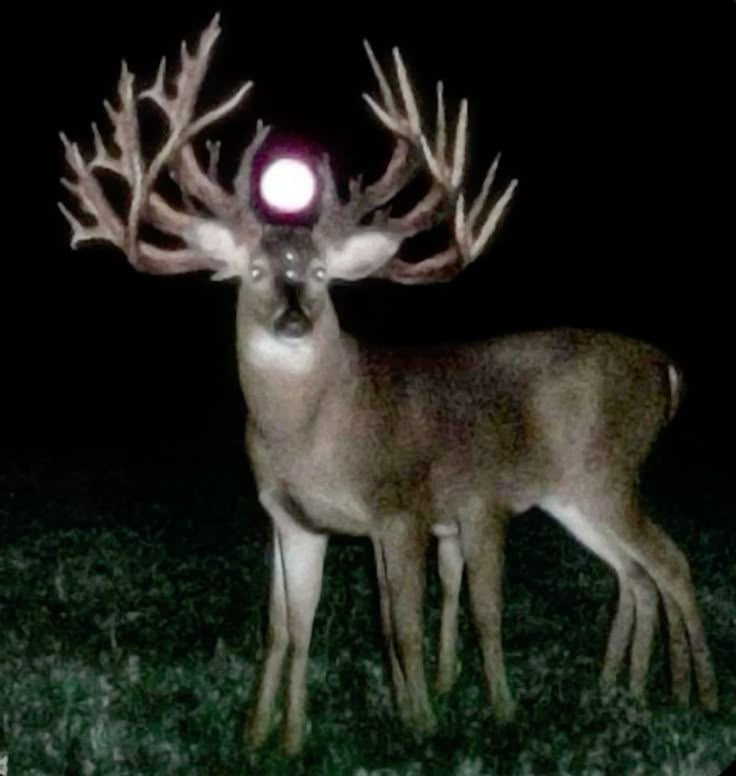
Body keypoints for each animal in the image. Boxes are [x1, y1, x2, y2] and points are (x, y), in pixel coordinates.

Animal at [59, 14, 718, 756]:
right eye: (255, 272)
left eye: (320, 274)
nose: (294, 316)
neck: (317, 431)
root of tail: (666, 368)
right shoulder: (290, 518)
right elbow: (286, 629)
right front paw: (272, 736)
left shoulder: (401, 506)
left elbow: (399, 625)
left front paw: (422, 725)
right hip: (572, 495)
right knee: (635, 573)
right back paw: (628, 688)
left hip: (607, 471)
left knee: (671, 562)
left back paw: (698, 695)